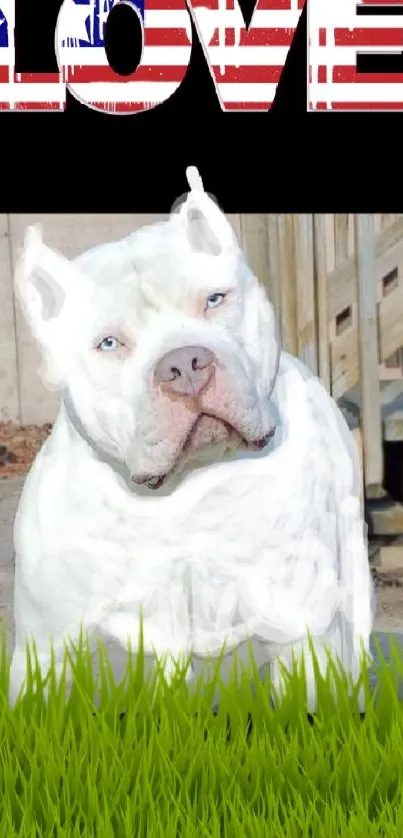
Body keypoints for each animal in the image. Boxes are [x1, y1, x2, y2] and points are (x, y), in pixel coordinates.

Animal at [8, 171, 376, 708]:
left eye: (215, 299)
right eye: (109, 343)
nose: (185, 364)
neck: (182, 496)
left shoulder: (299, 630)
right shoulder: (46, 649)